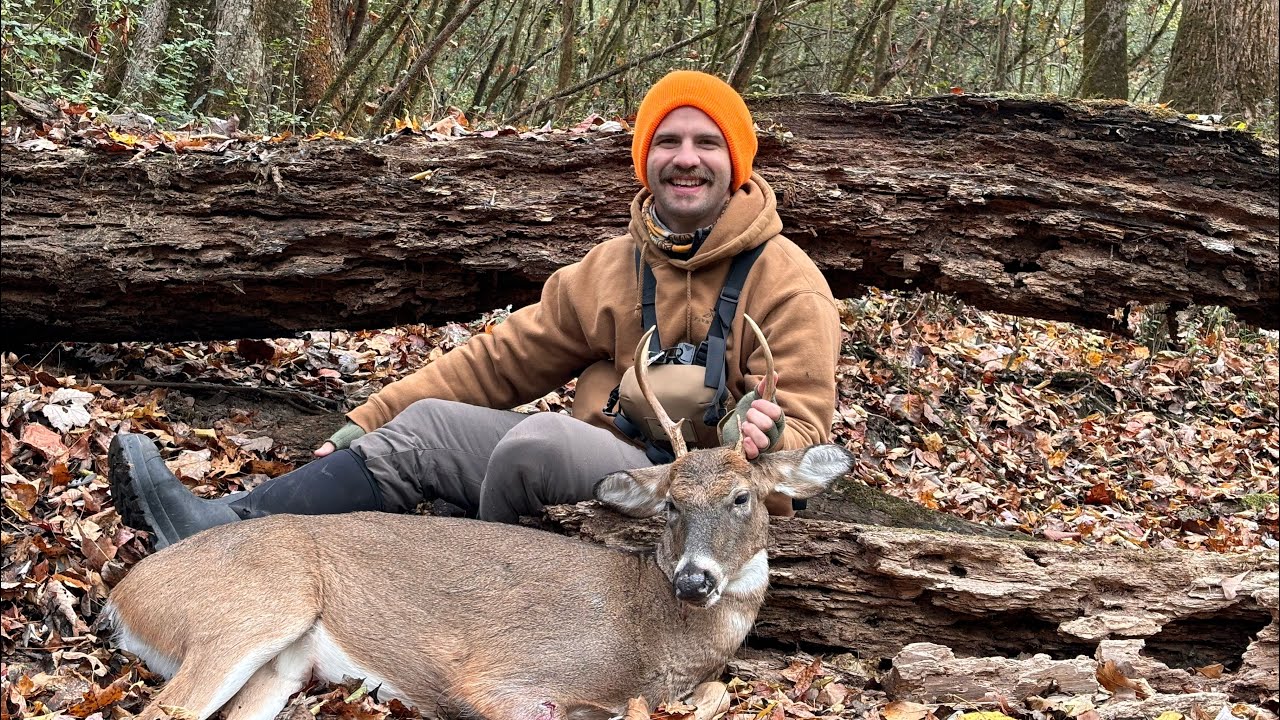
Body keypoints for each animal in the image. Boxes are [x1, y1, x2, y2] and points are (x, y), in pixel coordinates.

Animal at [103, 316, 854, 720]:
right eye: (671, 503)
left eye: (743, 498)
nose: (695, 581)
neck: (649, 637)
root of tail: (121, 592)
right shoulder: (497, 676)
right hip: (250, 610)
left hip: (281, 667)